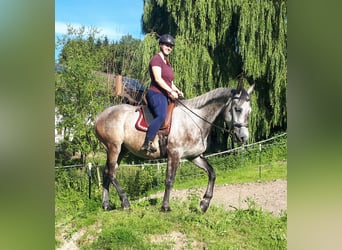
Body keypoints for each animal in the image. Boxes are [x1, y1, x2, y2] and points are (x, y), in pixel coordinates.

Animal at [93, 81, 254, 212]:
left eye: (249, 111)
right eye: (237, 109)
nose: (243, 137)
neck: (194, 120)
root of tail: (99, 116)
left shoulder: (194, 156)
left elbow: (212, 173)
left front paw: (204, 204)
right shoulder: (174, 154)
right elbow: (169, 180)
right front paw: (165, 206)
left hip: (121, 150)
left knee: (107, 172)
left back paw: (106, 205)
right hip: (114, 148)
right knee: (111, 173)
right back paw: (125, 202)